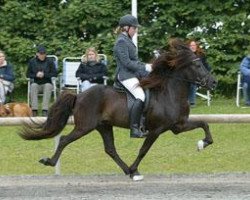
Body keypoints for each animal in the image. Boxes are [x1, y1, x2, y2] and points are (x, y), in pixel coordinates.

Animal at [18, 38, 217, 181]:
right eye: (197, 65)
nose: (213, 82)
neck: (169, 93)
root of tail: (79, 96)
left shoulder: (178, 126)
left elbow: (204, 124)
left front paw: (202, 144)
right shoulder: (156, 130)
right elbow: (143, 150)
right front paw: (136, 168)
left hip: (103, 126)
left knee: (110, 149)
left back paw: (128, 170)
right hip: (85, 126)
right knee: (65, 139)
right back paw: (50, 161)